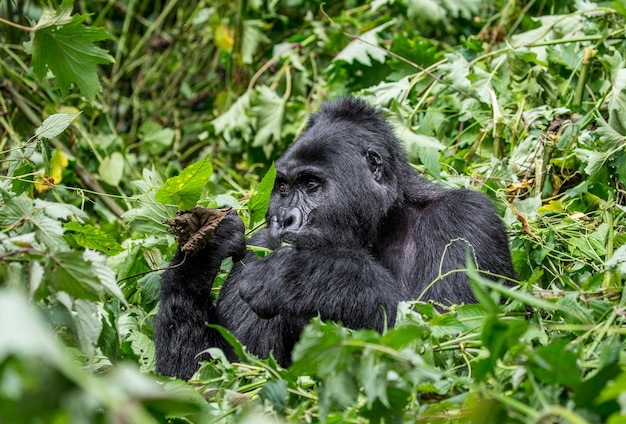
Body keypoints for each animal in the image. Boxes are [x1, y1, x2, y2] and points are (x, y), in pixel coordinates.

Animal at [154, 97, 516, 380]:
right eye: (283, 188)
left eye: (311, 185)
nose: (284, 218)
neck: (385, 221)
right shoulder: (262, 245)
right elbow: (217, 375)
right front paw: (201, 248)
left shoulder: (464, 217)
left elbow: (449, 339)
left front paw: (300, 275)